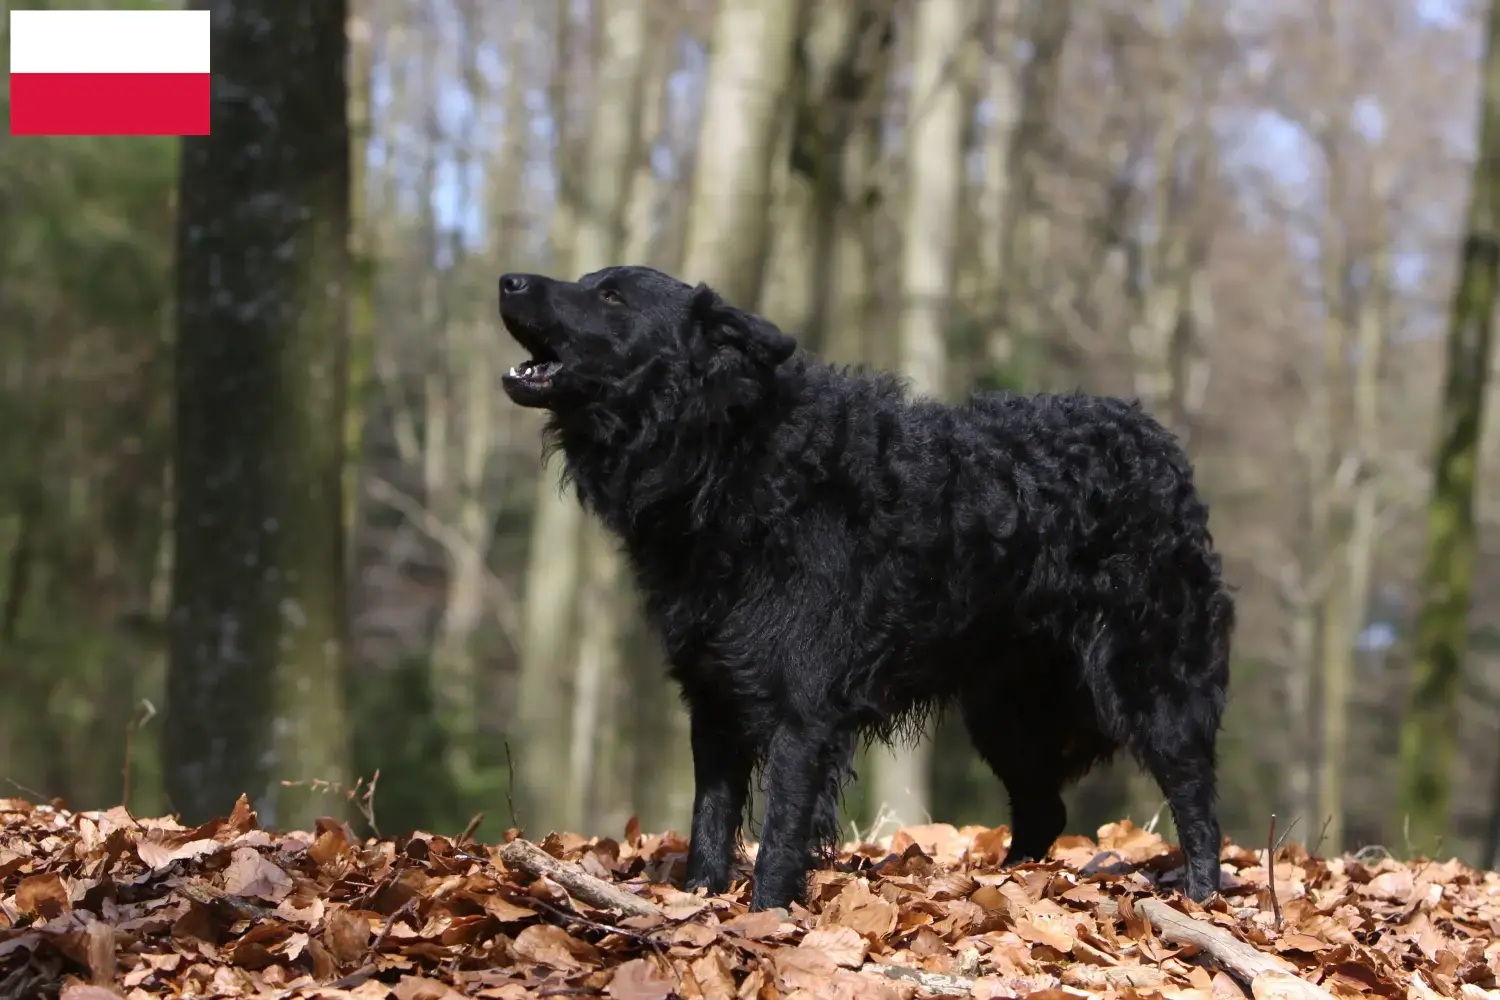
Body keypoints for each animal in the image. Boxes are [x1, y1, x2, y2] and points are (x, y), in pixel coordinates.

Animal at [501, 263, 1230, 905]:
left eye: (612, 296)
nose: (508, 279)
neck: (740, 455)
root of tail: (1158, 445)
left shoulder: (803, 708)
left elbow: (781, 832)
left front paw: (767, 916)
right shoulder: (714, 698)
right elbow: (710, 817)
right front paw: (697, 903)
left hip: (1151, 681)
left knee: (1195, 800)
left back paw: (1198, 901)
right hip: (1004, 709)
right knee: (1043, 810)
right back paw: (1012, 888)